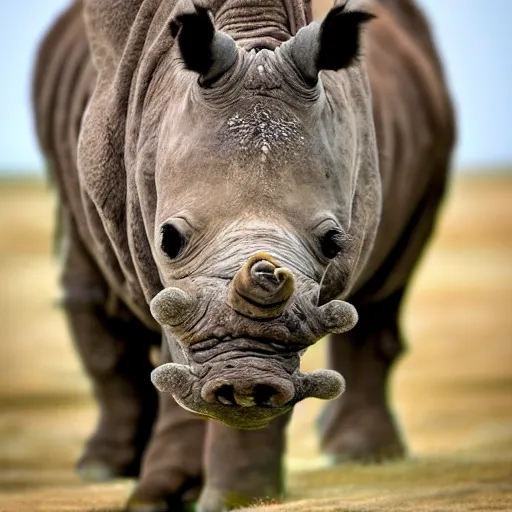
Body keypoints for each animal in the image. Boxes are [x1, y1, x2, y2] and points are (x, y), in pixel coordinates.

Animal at [34, 0, 454, 510]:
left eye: (335, 244)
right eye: (169, 239)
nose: (247, 379)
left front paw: (236, 498)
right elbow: (148, 345)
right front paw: (156, 497)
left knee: (387, 287)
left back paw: (361, 457)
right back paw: (102, 469)